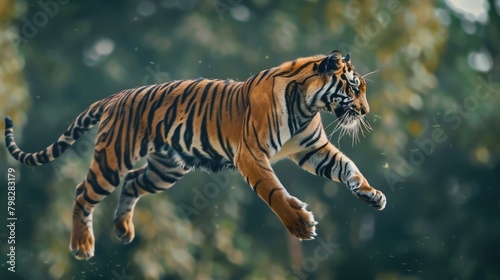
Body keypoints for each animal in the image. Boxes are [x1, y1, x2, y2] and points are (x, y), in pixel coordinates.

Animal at [3, 48, 386, 260]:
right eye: (354, 88)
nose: (366, 112)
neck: (307, 105)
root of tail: (116, 96)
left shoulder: (314, 150)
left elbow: (348, 167)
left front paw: (372, 194)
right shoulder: (251, 155)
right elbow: (274, 192)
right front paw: (300, 225)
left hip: (166, 168)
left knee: (133, 182)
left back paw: (123, 229)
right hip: (113, 158)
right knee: (83, 192)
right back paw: (82, 245)